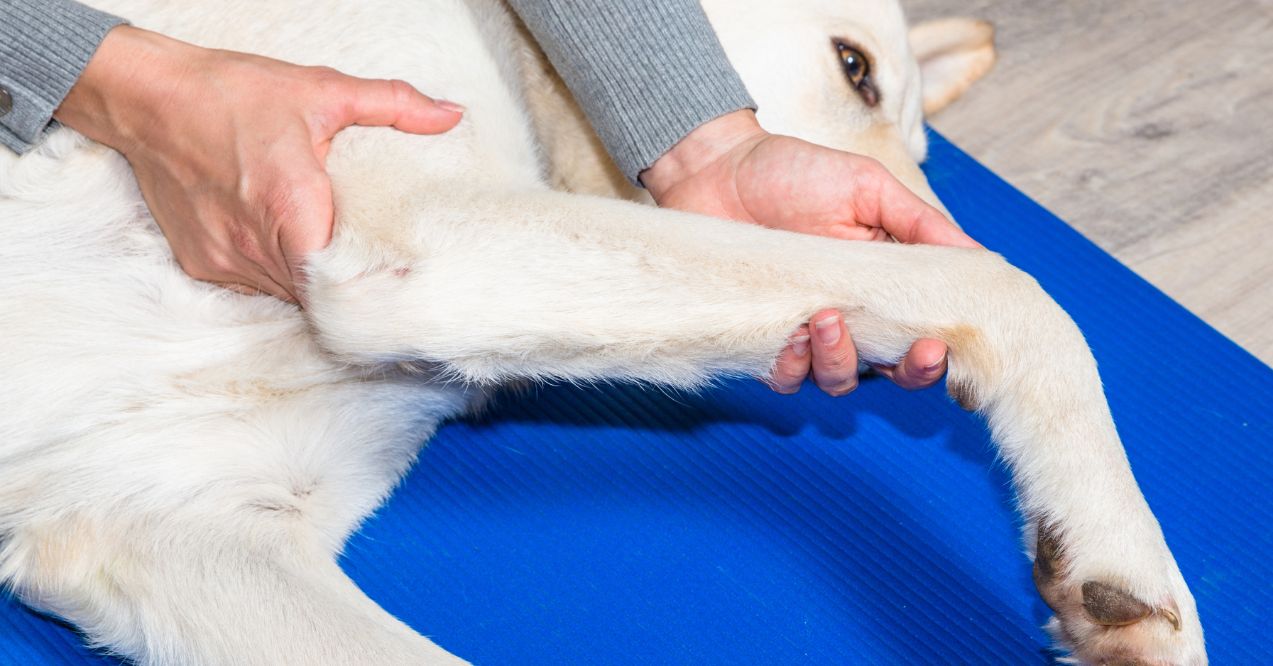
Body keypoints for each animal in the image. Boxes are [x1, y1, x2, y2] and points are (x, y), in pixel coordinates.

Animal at [0, 1, 1201, 666]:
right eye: (853, 68)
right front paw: (1120, 556)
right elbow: (1014, 289)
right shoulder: (430, 234)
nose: (910, 208)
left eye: (917, 145)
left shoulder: (176, 532)